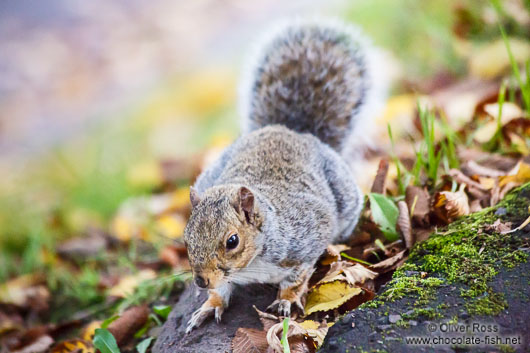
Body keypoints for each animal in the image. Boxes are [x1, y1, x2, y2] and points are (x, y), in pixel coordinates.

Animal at [184, 17, 382, 332]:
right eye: (186, 239)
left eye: (232, 241)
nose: (201, 281)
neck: (252, 265)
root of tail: (290, 130)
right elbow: (221, 289)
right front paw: (210, 304)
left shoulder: (306, 240)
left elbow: (297, 278)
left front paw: (286, 300)